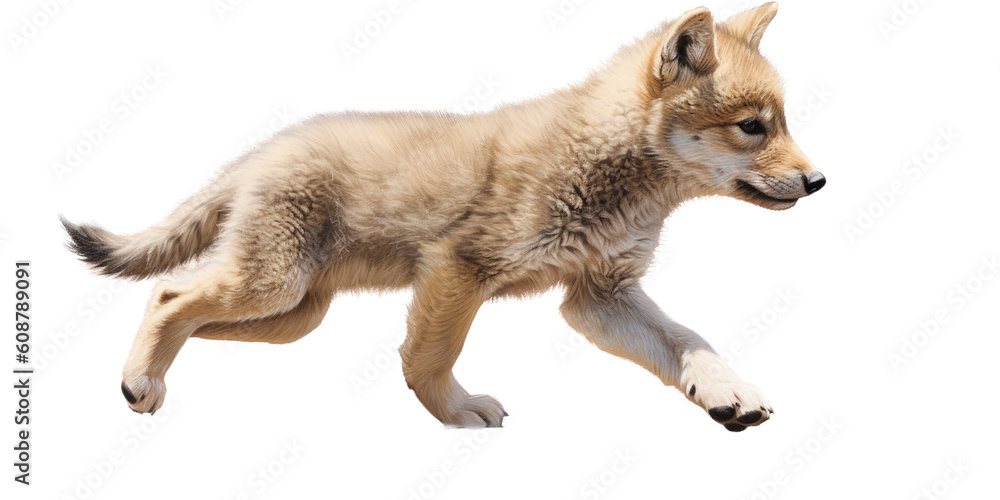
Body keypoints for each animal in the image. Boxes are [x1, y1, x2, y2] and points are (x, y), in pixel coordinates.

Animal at [62, 3, 824, 431]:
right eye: (753, 127)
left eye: (782, 122)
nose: (818, 181)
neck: (610, 174)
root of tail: (258, 153)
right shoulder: (458, 271)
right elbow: (429, 358)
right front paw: (458, 415)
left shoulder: (599, 297)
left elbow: (688, 341)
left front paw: (727, 393)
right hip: (271, 287)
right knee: (169, 294)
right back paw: (141, 381)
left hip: (291, 313)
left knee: (185, 306)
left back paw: (147, 383)